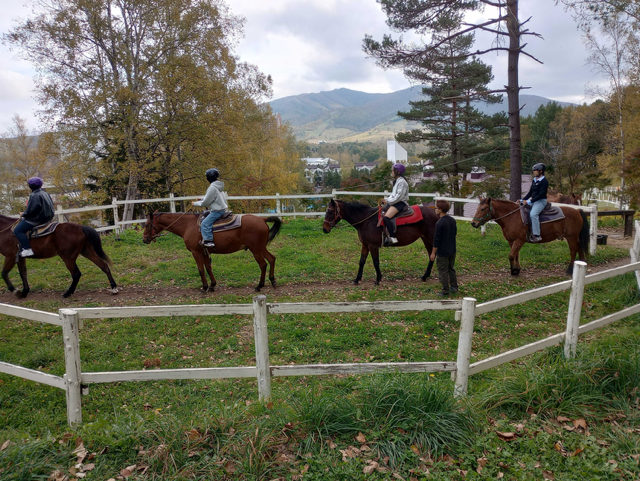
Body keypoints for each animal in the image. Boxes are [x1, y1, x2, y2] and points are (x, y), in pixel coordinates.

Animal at [143, 212, 281, 292]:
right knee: (272, 259)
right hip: (261, 248)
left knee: (263, 264)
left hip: (256, 249)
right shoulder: (204, 252)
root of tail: (262, 219)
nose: (144, 239)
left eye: (147, 224)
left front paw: (204, 287)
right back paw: (272, 280)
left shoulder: (196, 252)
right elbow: (208, 268)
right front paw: (212, 285)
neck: (188, 225)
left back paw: (259, 286)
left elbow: (201, 270)